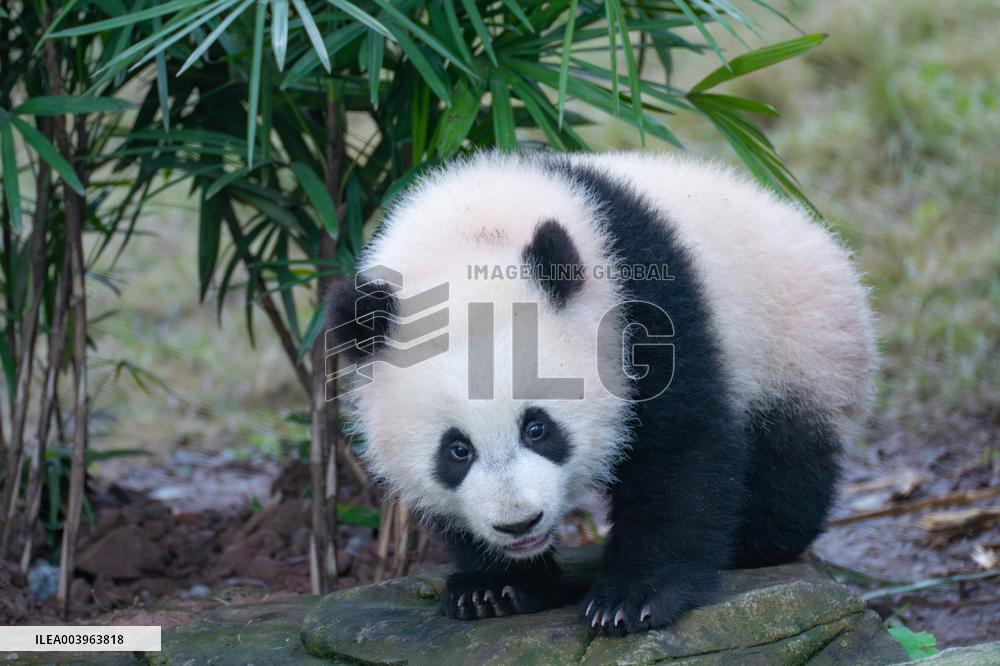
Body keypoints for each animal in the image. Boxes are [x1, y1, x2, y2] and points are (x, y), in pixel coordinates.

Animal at [327, 151, 876, 636]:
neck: (472, 233)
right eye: (456, 450)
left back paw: (755, 541)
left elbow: (680, 448)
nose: (518, 523)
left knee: (788, 457)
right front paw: (494, 587)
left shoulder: (646, 306)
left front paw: (632, 598)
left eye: (537, 427)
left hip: (797, 346)